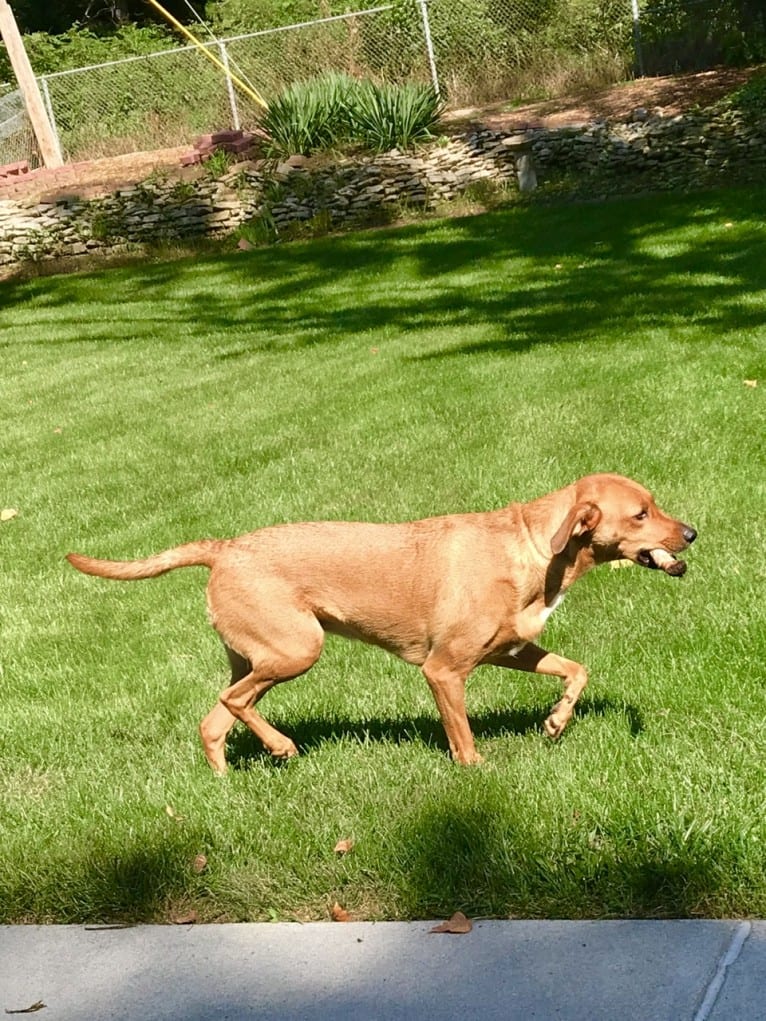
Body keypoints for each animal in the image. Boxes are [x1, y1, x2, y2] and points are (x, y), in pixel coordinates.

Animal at [68, 473, 698, 767]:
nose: (691, 533)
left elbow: (577, 670)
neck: (533, 547)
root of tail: (224, 549)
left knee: (214, 721)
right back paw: (281, 747)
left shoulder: (513, 650)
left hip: (255, 657)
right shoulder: (444, 671)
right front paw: (476, 771)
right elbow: (463, 737)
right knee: (232, 703)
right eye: (641, 514)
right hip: (298, 648)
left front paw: (557, 721)